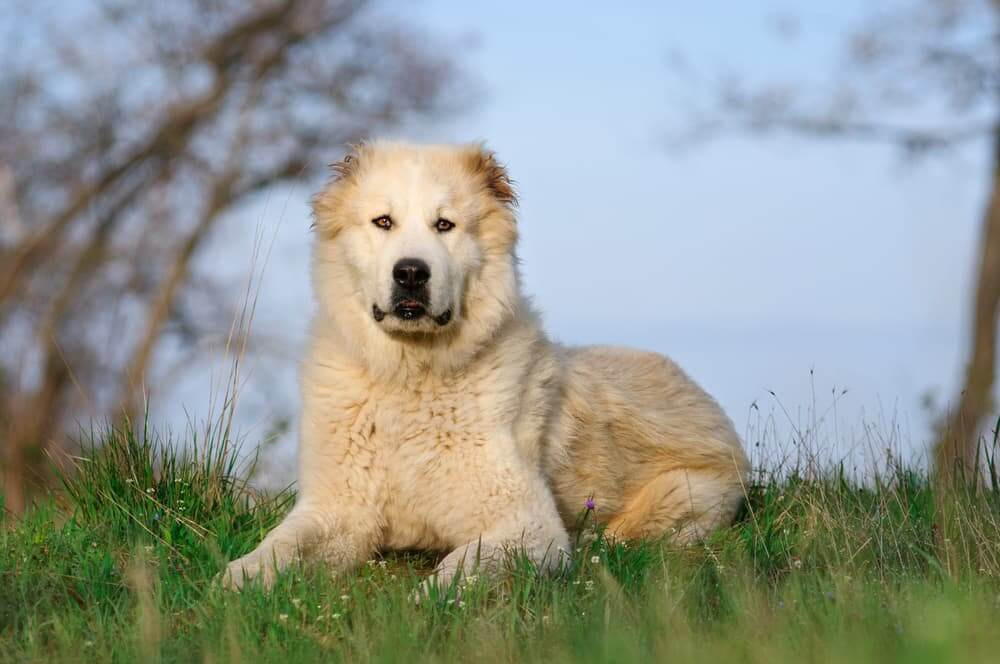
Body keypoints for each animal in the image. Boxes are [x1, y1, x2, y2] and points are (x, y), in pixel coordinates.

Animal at [221, 141, 752, 592]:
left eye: (445, 225)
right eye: (383, 222)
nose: (410, 272)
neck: (410, 379)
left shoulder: (526, 522)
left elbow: (465, 564)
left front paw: (433, 599)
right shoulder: (338, 510)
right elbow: (279, 548)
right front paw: (238, 581)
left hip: (678, 500)